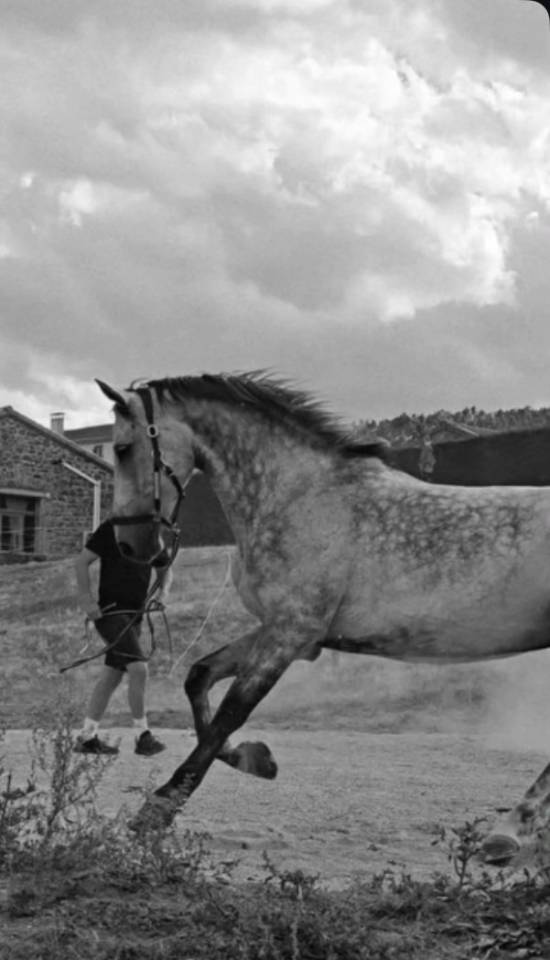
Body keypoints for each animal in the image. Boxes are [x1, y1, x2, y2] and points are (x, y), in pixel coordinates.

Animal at [96, 372, 550, 865]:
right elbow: (199, 679)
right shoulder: (291, 634)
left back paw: (510, 829)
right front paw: (254, 760)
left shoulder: (290, 633)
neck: (301, 497)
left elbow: (231, 713)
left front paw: (159, 807)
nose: (130, 546)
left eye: (123, 448)